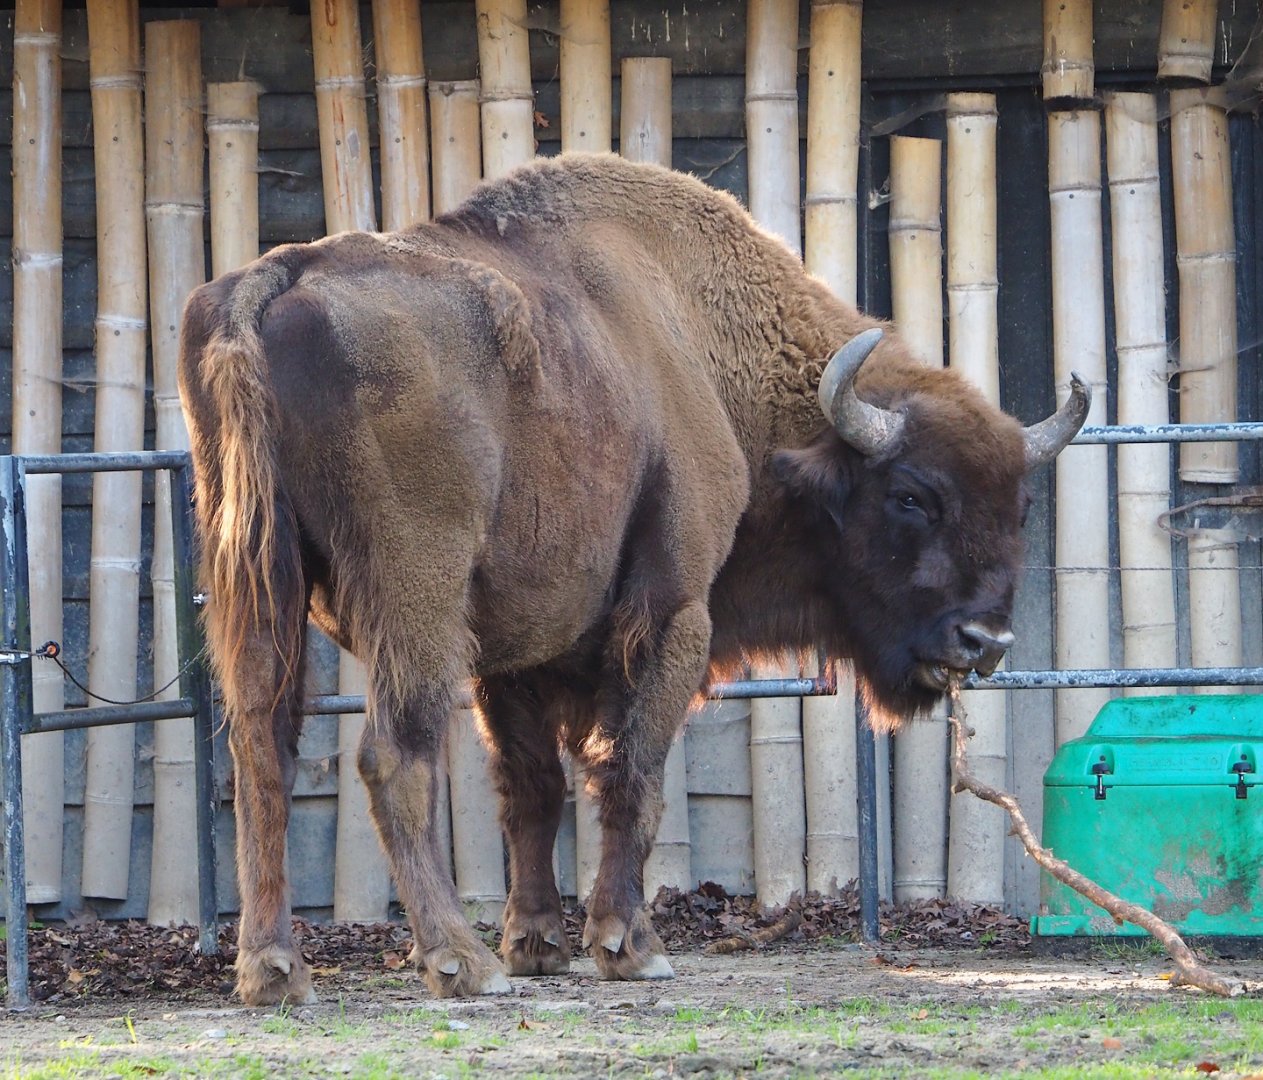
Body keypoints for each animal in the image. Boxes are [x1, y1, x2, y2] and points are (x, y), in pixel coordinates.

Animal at [178, 153, 1088, 1006]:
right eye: (909, 496)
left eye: (1021, 504)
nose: (983, 640)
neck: (705, 352)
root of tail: (276, 279)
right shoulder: (675, 615)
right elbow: (633, 772)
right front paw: (628, 946)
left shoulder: (515, 656)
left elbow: (534, 787)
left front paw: (539, 943)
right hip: (416, 595)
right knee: (392, 755)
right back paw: (458, 963)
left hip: (261, 582)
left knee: (261, 746)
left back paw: (274, 969)